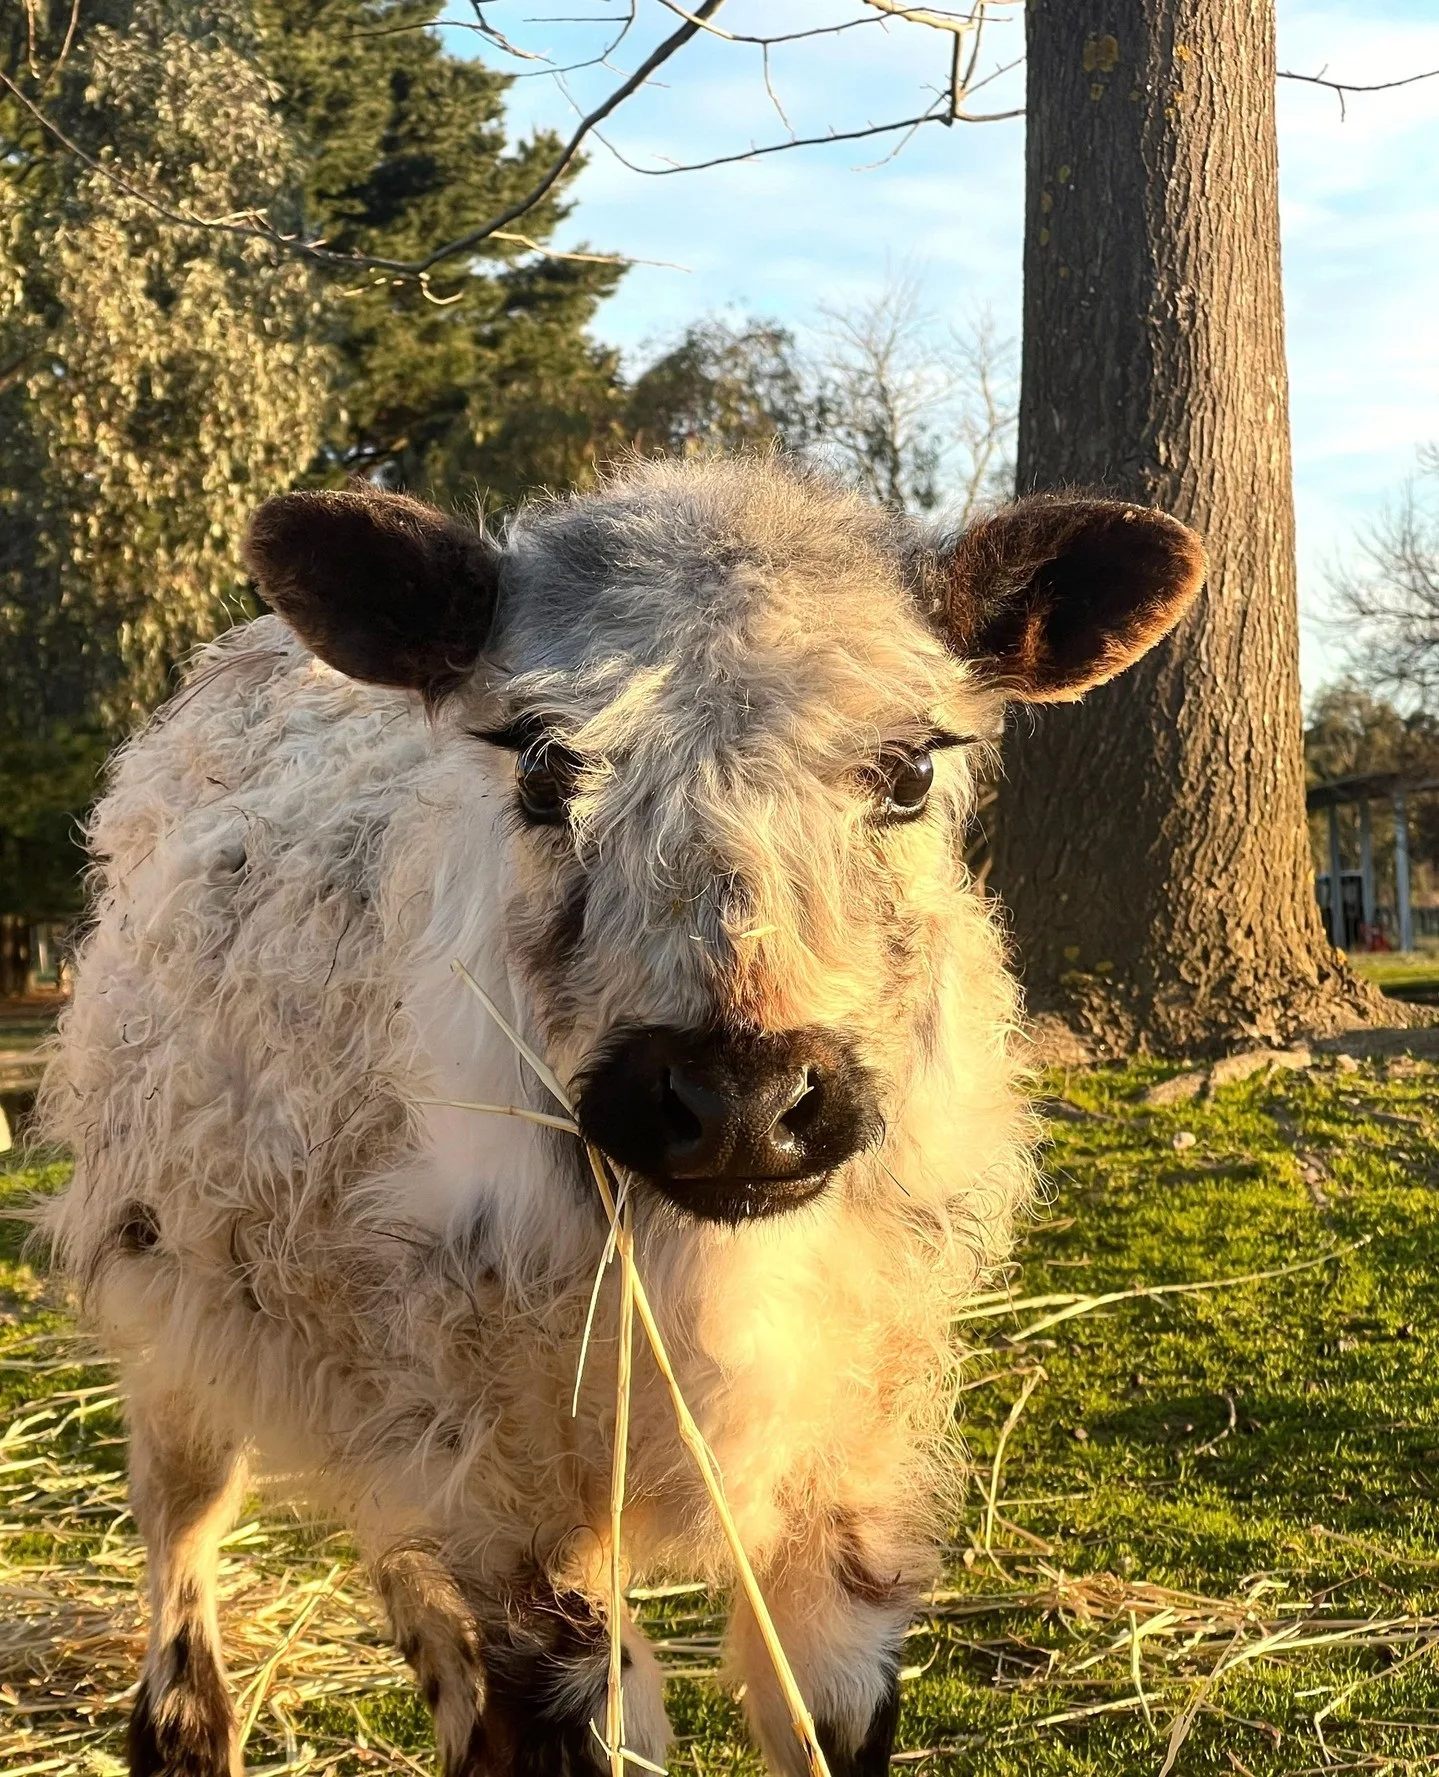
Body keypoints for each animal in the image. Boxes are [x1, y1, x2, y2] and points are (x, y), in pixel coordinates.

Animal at [39, 455, 1203, 1777]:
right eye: (543, 768)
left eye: (908, 770)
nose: (739, 1100)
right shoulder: (516, 1493)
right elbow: (581, 1723)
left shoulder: (849, 1465)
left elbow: (826, 1717)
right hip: (174, 1300)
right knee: (181, 1524)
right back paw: (183, 1723)